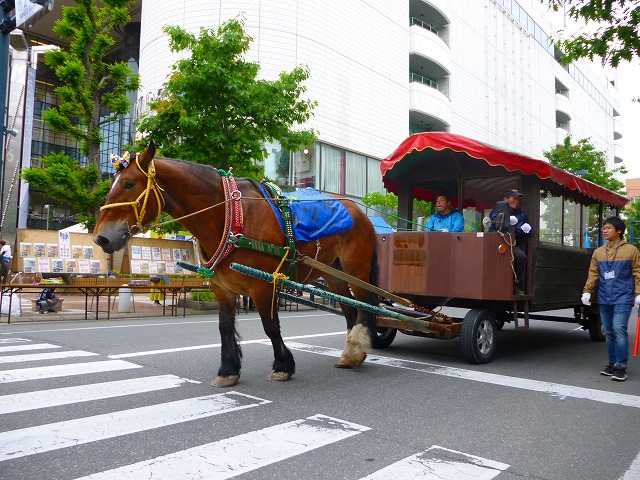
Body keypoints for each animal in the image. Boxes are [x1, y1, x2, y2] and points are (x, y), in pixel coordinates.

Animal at [93, 142, 379, 387]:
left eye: (129, 184)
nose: (100, 238)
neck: (229, 216)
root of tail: (360, 212)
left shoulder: (264, 285)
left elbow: (270, 325)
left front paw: (282, 366)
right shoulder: (223, 287)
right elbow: (224, 327)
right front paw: (228, 370)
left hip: (357, 269)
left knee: (365, 305)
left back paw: (357, 348)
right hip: (334, 274)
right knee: (350, 309)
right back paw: (350, 354)